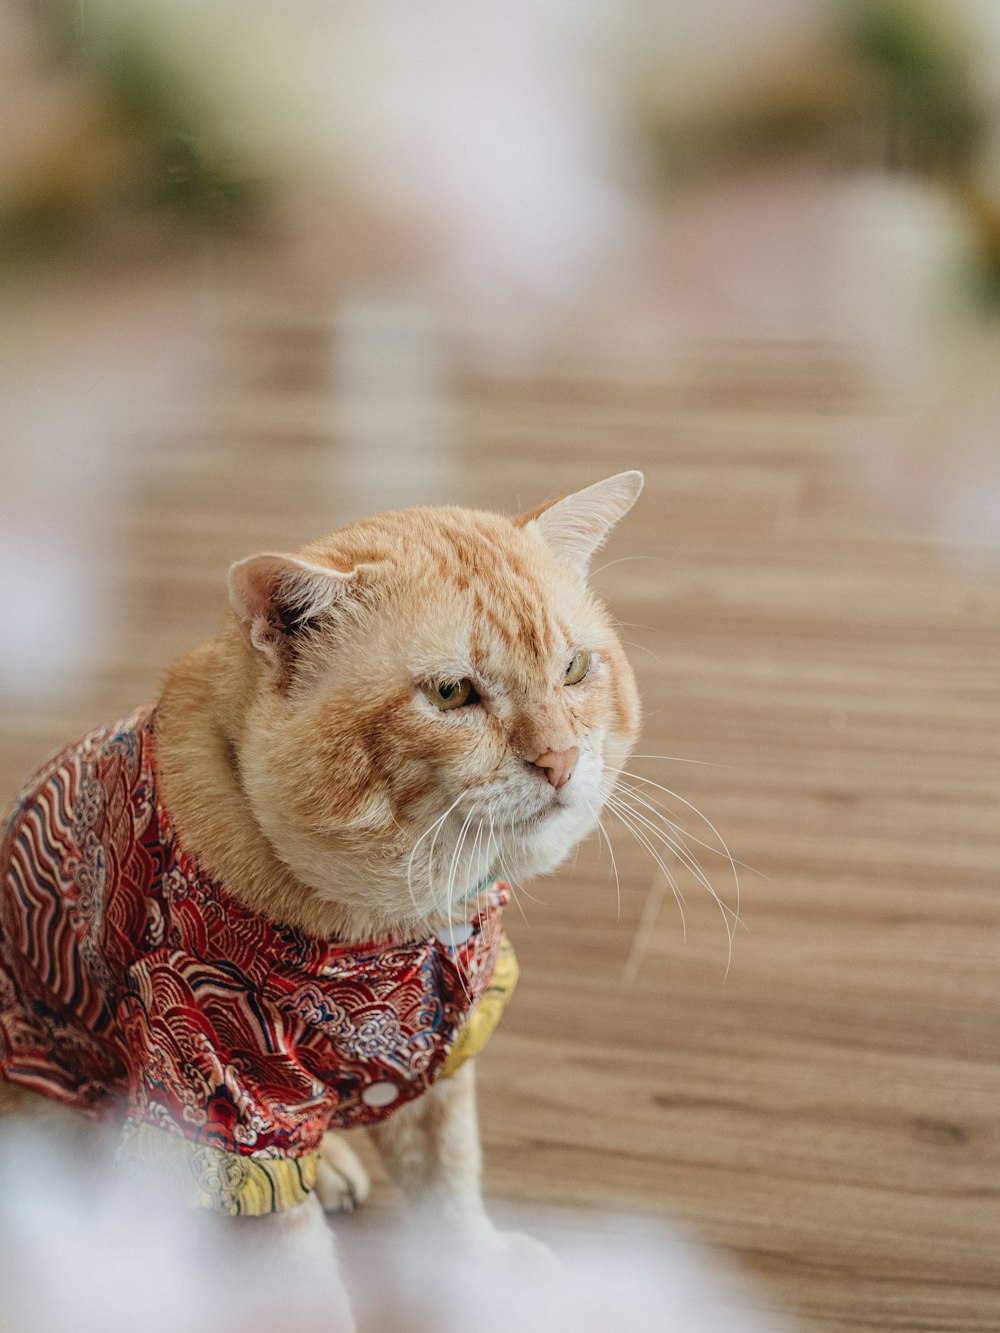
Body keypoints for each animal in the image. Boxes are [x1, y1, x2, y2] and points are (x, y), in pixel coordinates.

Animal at [0, 471, 642, 1322]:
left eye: (573, 670)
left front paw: (479, 1273)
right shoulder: (232, 1092)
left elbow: (450, 1184)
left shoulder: (439, 1056)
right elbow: (294, 1266)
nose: (562, 759)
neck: (406, 920)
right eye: (451, 692)